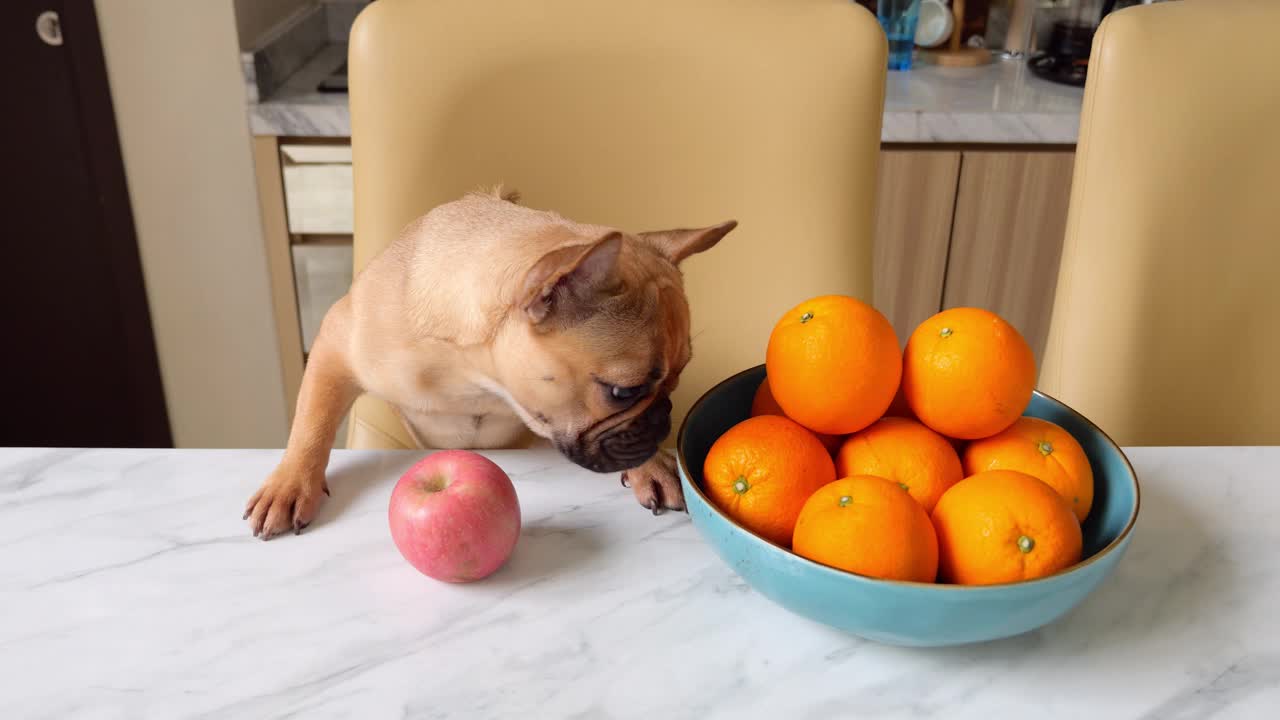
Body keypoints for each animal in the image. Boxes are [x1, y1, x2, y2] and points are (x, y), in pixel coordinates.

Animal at [243, 190, 737, 538]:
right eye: (624, 392)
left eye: (675, 381)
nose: (664, 418)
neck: (474, 375)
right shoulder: (334, 346)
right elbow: (313, 420)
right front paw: (291, 483)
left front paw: (652, 464)